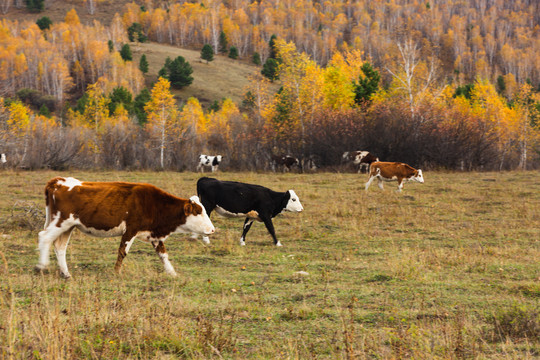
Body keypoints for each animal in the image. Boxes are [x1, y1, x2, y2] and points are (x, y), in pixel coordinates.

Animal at [33, 178, 215, 278]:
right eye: (199, 212)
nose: (212, 229)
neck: (154, 204)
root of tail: (57, 181)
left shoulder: (154, 235)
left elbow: (163, 255)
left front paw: (172, 273)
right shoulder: (130, 230)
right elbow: (122, 252)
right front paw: (116, 272)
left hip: (68, 226)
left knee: (59, 246)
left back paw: (66, 274)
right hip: (61, 222)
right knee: (44, 237)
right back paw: (41, 266)